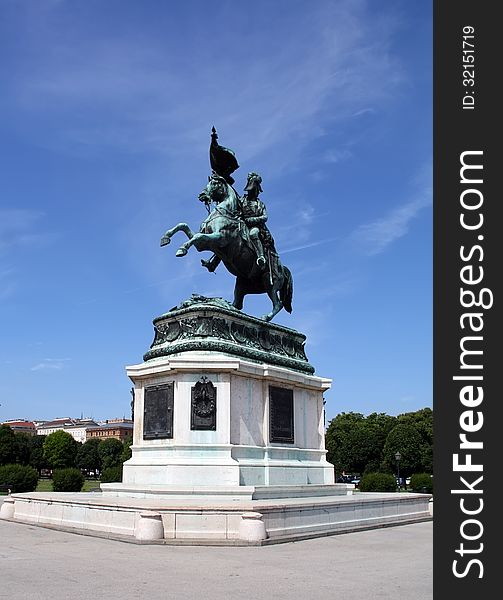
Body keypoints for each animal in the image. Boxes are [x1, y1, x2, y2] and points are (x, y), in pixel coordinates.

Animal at [159, 176, 294, 322]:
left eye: (215, 183)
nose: (202, 195)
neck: (225, 213)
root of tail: (283, 269)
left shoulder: (220, 238)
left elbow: (197, 236)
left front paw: (182, 249)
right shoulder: (203, 244)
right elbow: (184, 226)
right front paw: (166, 238)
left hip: (269, 282)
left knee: (278, 304)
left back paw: (265, 317)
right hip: (242, 285)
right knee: (237, 305)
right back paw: (219, 303)